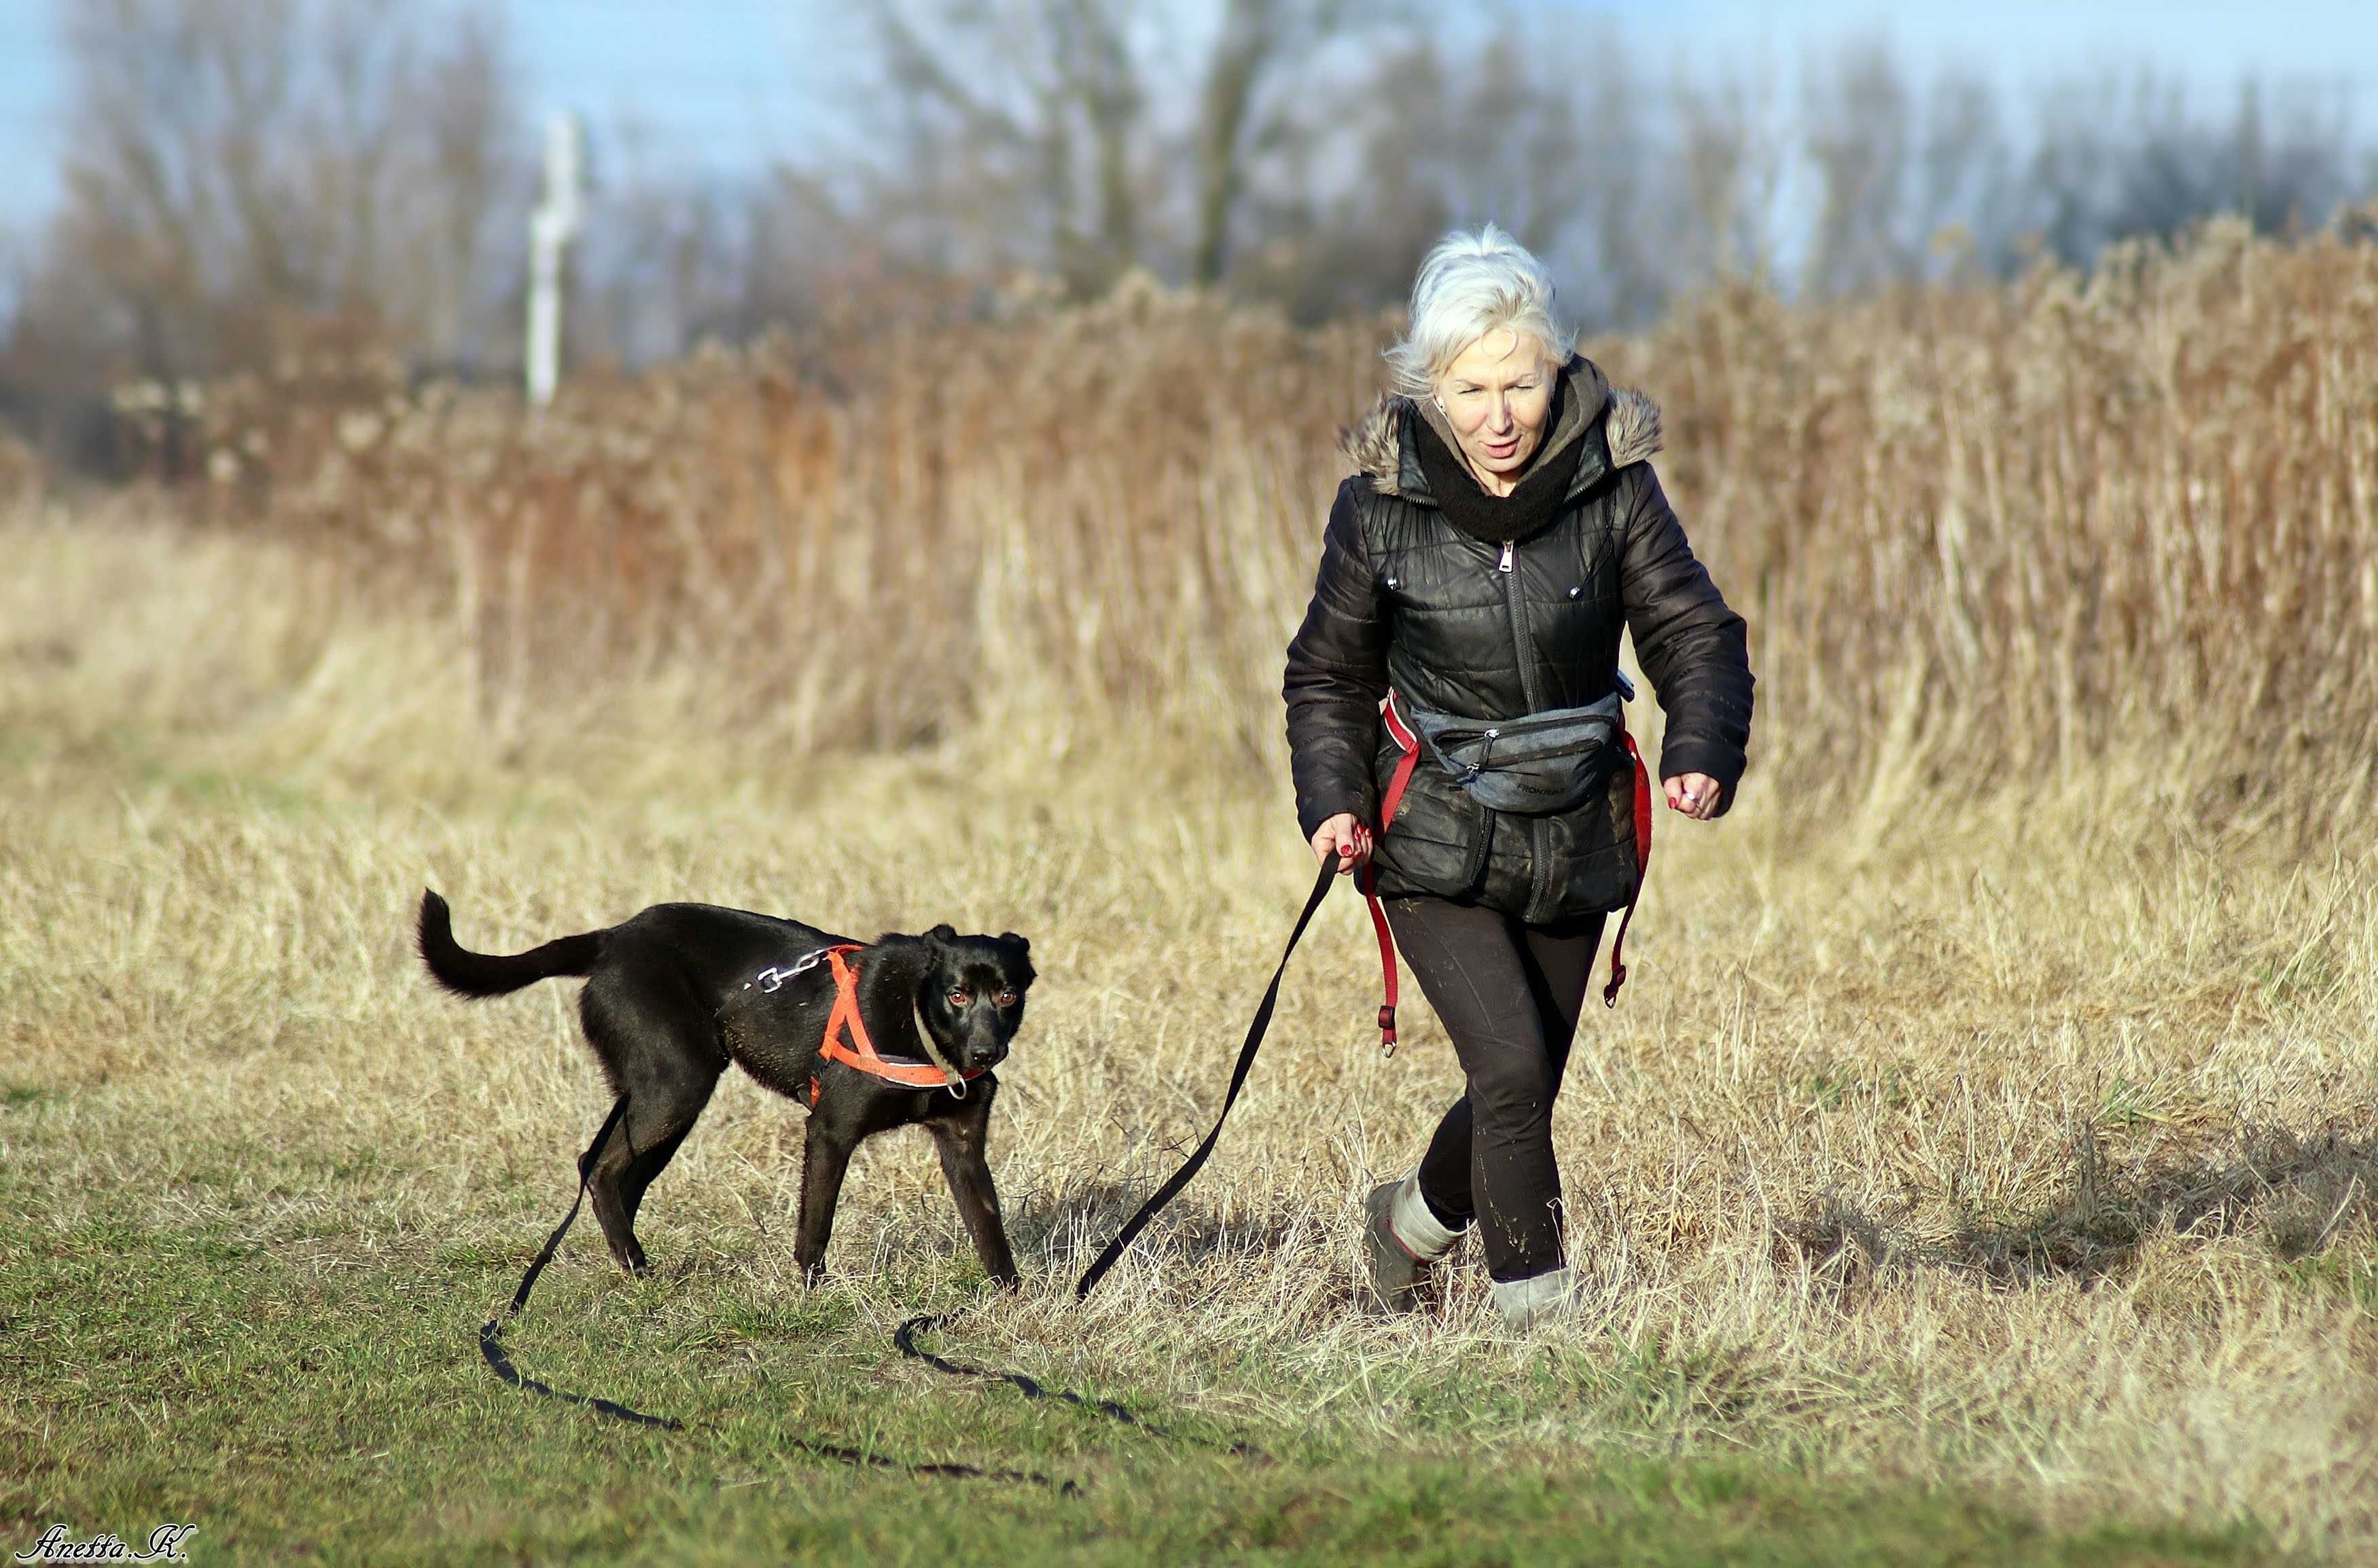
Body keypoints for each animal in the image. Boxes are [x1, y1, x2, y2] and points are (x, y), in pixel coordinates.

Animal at [411, 894, 1042, 1285]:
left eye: (1007, 996)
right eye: (957, 995)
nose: (986, 1053)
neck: (917, 1018)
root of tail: (614, 939)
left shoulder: (963, 1147)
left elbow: (990, 1230)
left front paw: (1012, 1302)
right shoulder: (830, 1131)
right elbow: (816, 1228)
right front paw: (812, 1293)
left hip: (658, 1098)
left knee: (606, 1169)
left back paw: (629, 1260)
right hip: (678, 1084)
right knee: (607, 1170)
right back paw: (636, 1267)